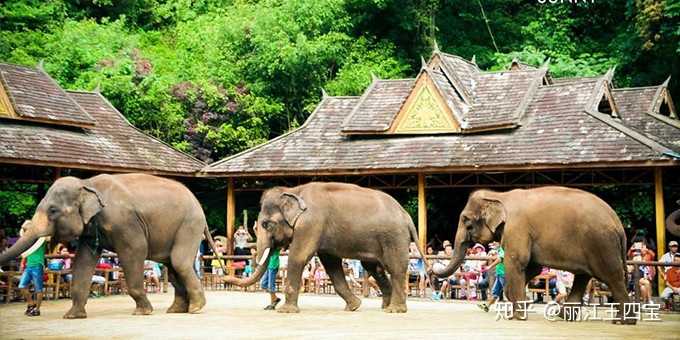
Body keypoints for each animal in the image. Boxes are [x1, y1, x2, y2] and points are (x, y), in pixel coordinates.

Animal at [0, 174, 224, 320]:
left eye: (53, 211)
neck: (86, 184)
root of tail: (198, 204)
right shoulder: (90, 230)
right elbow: (83, 261)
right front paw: (72, 316)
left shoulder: (124, 222)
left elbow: (135, 251)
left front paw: (143, 312)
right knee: (172, 266)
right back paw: (177, 310)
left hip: (189, 224)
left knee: (179, 262)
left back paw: (195, 309)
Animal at [223, 183, 424, 314]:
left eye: (266, 224)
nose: (226, 276)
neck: (294, 191)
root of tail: (406, 216)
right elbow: (331, 264)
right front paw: (353, 307)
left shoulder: (311, 223)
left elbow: (299, 257)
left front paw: (285, 311)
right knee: (374, 268)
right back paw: (385, 307)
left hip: (394, 237)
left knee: (395, 268)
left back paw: (395, 310)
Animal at [432, 187, 636, 322]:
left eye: (467, 222)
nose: (433, 270)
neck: (499, 195)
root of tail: (618, 224)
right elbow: (532, 268)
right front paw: (519, 308)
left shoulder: (517, 228)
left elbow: (516, 263)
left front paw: (516, 317)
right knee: (582, 277)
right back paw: (563, 317)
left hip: (601, 244)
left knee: (612, 277)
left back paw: (623, 321)